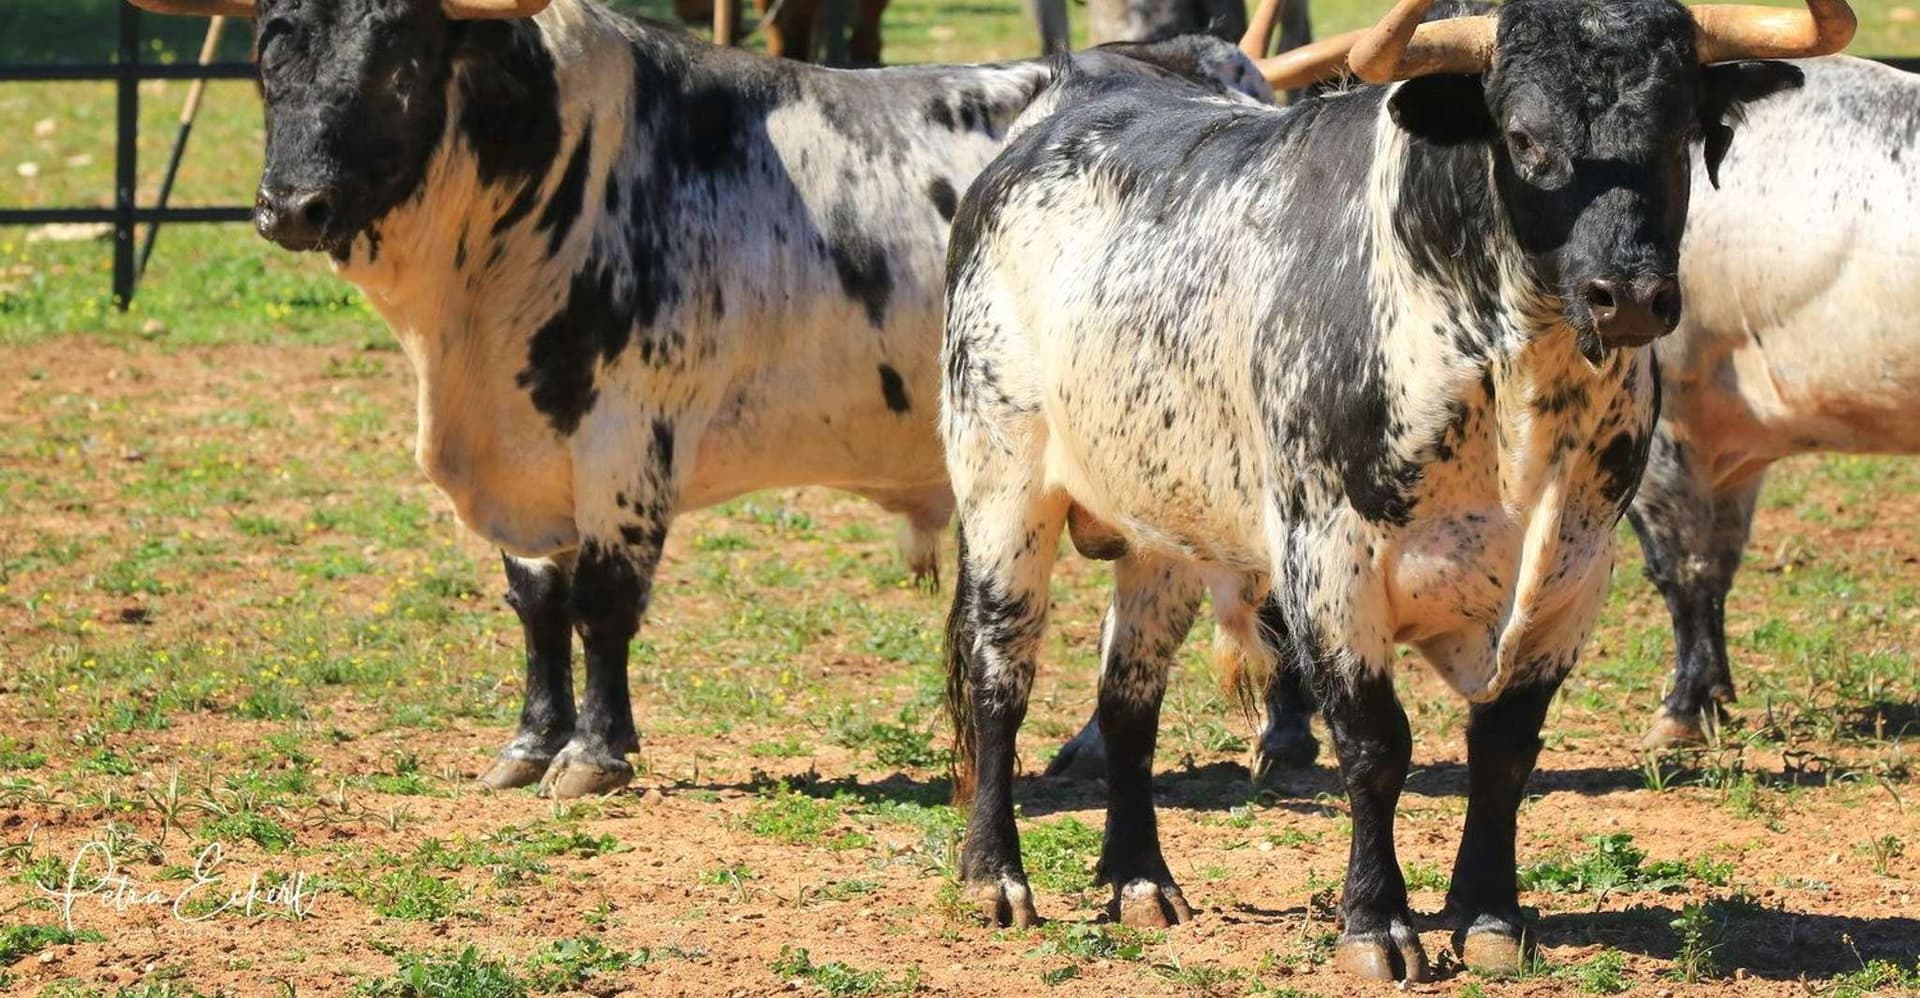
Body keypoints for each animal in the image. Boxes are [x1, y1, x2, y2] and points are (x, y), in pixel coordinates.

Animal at [124, 0, 1273, 798]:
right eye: (270, 44)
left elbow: (603, 605)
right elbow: (537, 604)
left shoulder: (627, 438)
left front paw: (594, 755)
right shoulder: (528, 455)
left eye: (401, 52)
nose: (292, 206)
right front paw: (529, 744)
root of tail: (1211, 64)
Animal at [939, 0, 1845, 981]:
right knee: (1002, 676)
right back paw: (995, 878)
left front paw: (1490, 915)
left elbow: (1504, 749)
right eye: (1524, 138)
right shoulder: (1329, 564)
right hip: (1001, 488)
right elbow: (1377, 747)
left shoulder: (1574, 576)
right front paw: (1377, 924)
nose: (1630, 296)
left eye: (1682, 133)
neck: (1519, 392)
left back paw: (1140, 881)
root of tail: (1058, 109)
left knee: (1127, 701)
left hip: (1165, 528)